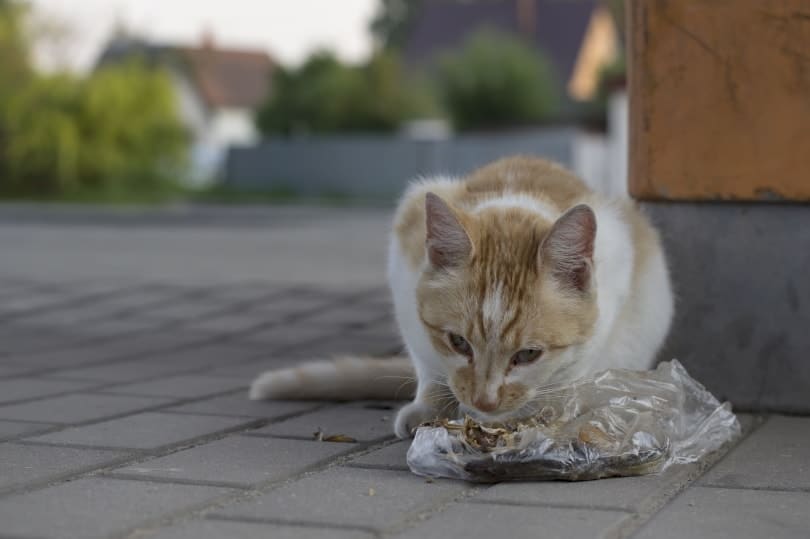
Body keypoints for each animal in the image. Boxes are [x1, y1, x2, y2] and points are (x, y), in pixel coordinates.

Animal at [249, 156, 672, 438]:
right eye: (457, 342)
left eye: (528, 355)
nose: (485, 402)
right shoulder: (405, 277)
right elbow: (429, 366)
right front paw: (431, 405)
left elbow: (573, 373)